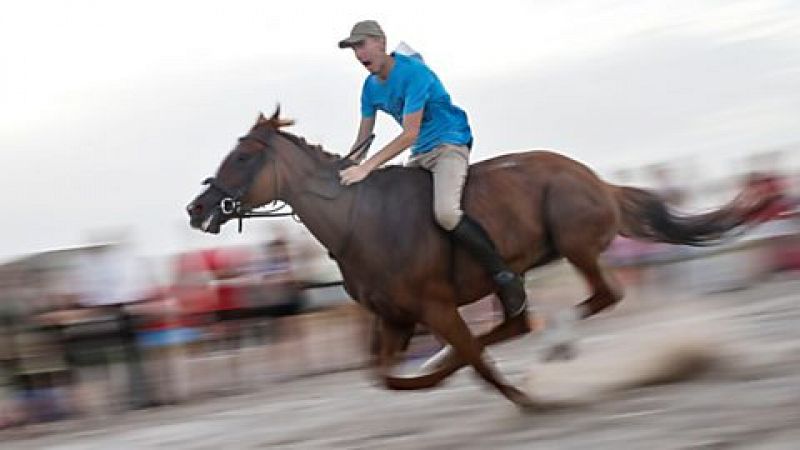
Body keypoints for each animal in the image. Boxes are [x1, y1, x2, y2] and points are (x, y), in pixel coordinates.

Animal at [189, 109, 776, 408]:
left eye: (244, 156)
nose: (197, 209)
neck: (360, 220)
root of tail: (596, 180)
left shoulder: (435, 307)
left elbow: (471, 360)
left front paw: (524, 392)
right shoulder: (395, 317)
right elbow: (386, 375)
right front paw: (438, 370)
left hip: (575, 244)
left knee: (601, 295)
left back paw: (556, 341)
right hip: (526, 266)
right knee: (518, 320)